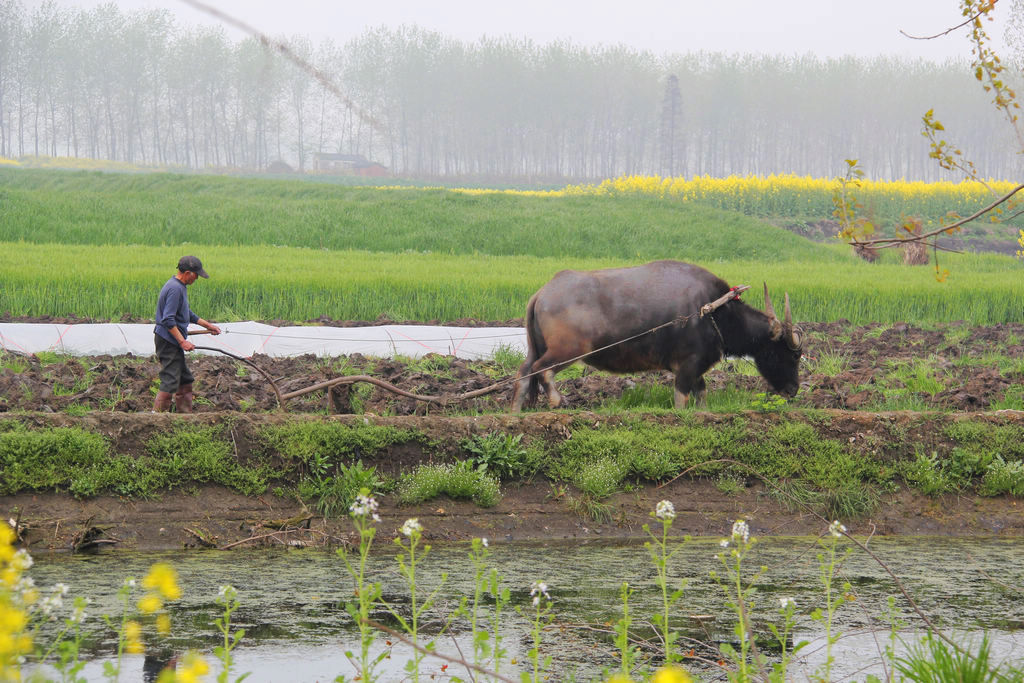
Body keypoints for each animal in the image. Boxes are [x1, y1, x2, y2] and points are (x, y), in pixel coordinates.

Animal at [512, 260, 798, 411]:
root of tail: (543, 292)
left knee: (524, 371)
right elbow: (682, 397)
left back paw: (515, 409)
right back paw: (557, 400)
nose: (793, 389)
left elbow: (702, 394)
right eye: (781, 353)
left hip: (536, 347)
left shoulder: (697, 367)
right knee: (541, 369)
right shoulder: (687, 365)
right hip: (569, 350)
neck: (712, 311)